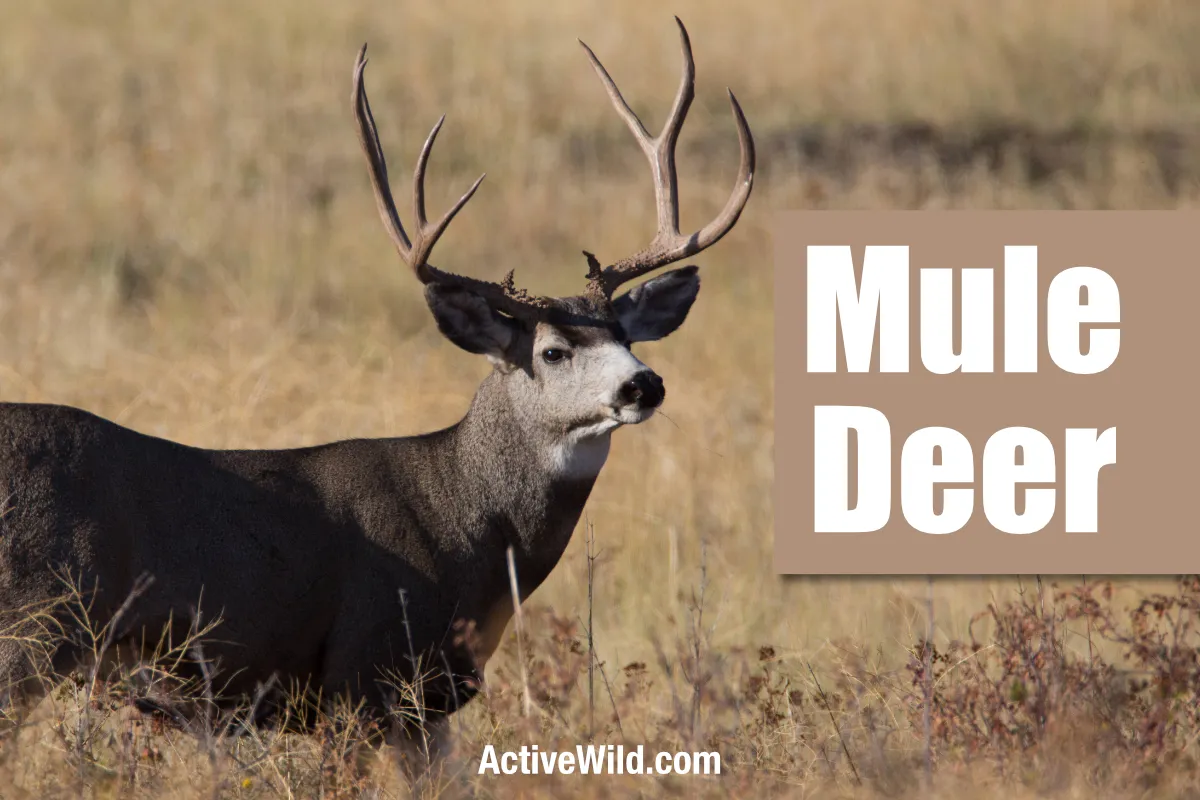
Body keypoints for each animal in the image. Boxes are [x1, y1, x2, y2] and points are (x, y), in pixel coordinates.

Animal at [0, 17, 753, 771]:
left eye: (628, 334)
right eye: (552, 351)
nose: (643, 383)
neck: (463, 519)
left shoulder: (432, 704)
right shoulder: (364, 674)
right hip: (33, 630)